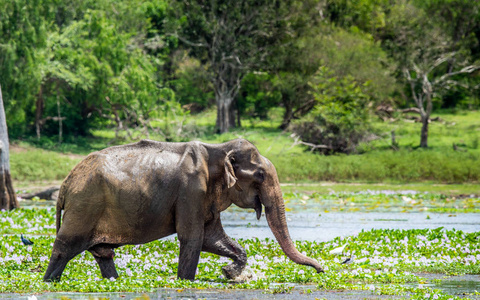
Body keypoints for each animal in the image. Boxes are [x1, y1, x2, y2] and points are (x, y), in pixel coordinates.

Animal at [44, 138, 322, 282]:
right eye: (261, 175)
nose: (321, 270)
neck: (218, 149)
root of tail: (67, 182)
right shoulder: (191, 191)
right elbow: (193, 238)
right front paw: (188, 280)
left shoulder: (204, 197)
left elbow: (212, 238)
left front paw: (231, 273)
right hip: (84, 206)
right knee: (65, 248)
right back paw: (49, 280)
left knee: (103, 255)